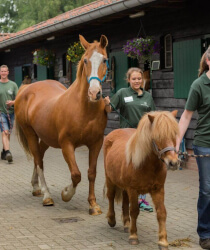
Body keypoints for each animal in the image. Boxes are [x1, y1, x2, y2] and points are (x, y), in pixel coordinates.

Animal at [14, 34, 108, 215]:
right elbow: (76, 174)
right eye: (85, 60)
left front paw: (93, 205)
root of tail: (26, 89)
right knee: (39, 161)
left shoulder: (96, 143)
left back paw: (36, 187)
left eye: (105, 60)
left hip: (46, 138)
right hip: (30, 134)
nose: (94, 93)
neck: (84, 109)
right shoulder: (66, 145)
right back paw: (47, 196)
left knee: (38, 156)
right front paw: (66, 193)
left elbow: (91, 173)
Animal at [103, 110, 179, 249]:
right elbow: (134, 211)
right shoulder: (133, 190)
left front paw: (163, 241)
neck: (147, 164)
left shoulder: (158, 189)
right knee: (111, 197)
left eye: (174, 135)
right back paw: (112, 220)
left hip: (125, 187)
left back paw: (127, 224)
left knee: (124, 202)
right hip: (110, 179)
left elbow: (161, 213)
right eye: (157, 136)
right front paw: (133, 236)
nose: (173, 163)